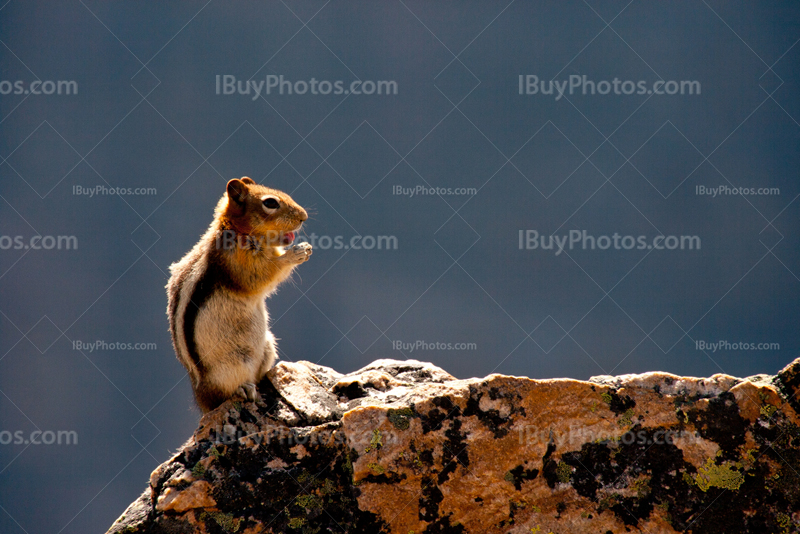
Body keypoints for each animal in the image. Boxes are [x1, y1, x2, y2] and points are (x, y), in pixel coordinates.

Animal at [167, 178, 310, 412]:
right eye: (270, 203)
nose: (303, 216)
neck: (236, 230)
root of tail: (203, 398)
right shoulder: (238, 261)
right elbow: (263, 275)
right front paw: (296, 253)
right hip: (234, 364)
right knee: (226, 393)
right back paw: (244, 389)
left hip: (267, 345)